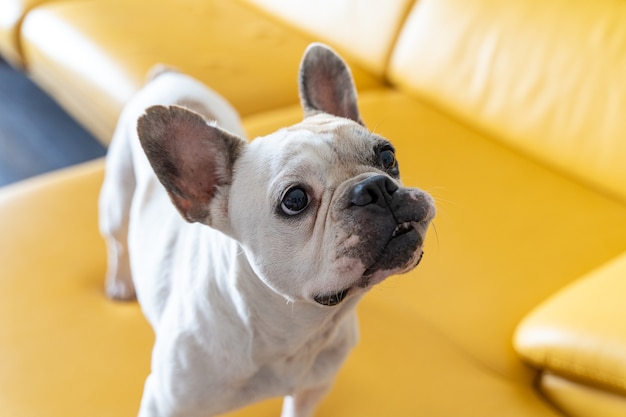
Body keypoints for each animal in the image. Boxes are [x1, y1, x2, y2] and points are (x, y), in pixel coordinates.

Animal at [98, 43, 434, 417]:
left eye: (388, 157)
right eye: (295, 199)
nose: (376, 187)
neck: (294, 329)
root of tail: (166, 75)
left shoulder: (313, 388)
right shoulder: (166, 404)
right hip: (117, 201)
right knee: (118, 242)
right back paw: (120, 282)